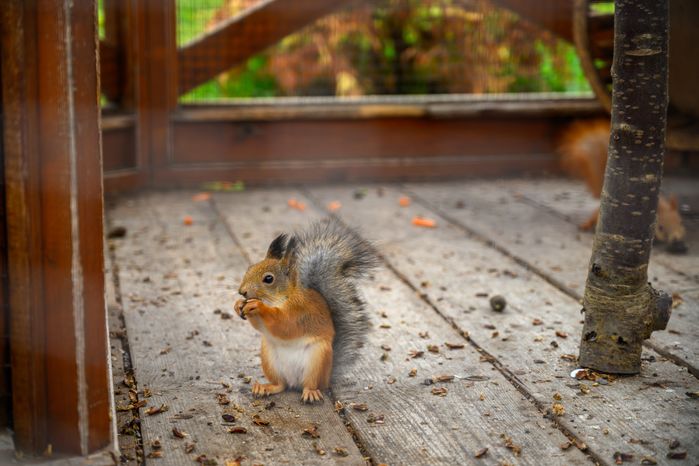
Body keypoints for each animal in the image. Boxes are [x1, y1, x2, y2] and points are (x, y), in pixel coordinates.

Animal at [234, 218, 379, 403]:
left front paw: (258, 307)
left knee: (310, 383)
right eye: (249, 269)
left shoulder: (300, 311)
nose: (242, 291)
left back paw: (311, 392)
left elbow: (284, 325)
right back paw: (266, 387)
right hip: (270, 358)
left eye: (268, 279)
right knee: (281, 385)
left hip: (317, 360)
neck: (282, 297)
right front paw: (238, 304)